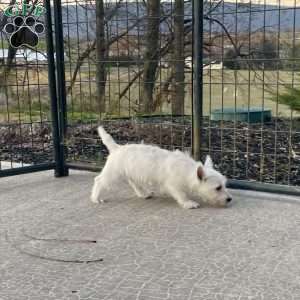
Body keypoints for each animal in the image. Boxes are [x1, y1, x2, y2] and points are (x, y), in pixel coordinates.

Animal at [91, 126, 232, 209]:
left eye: (224, 185)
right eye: (218, 188)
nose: (229, 199)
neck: (187, 170)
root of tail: (117, 148)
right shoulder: (173, 185)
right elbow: (181, 195)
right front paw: (188, 203)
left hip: (133, 173)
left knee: (134, 183)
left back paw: (144, 194)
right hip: (112, 174)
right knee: (99, 181)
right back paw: (95, 198)